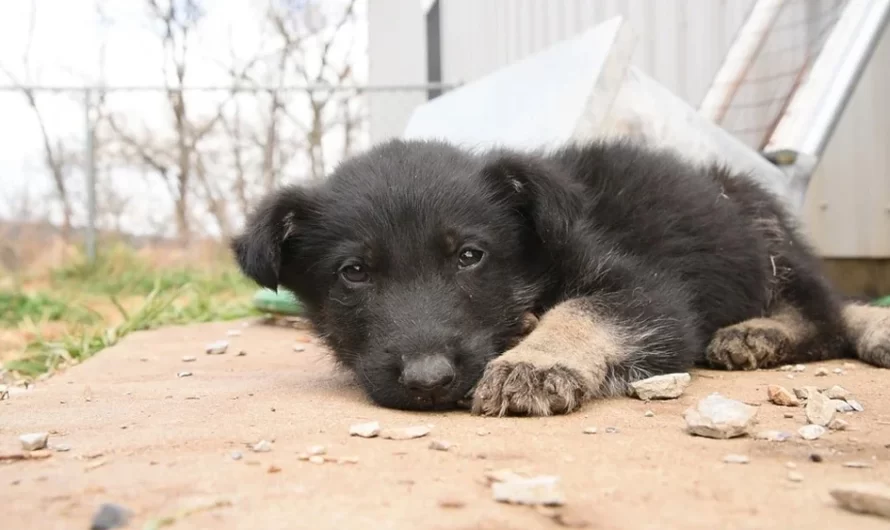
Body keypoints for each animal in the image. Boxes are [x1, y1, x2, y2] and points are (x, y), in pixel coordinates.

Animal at [234, 138, 888, 414]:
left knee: (828, 310)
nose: (428, 382)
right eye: (354, 273)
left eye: (469, 256)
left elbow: (582, 309)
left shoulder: (649, 293)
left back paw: (777, 331)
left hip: (760, 228)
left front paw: (535, 362)